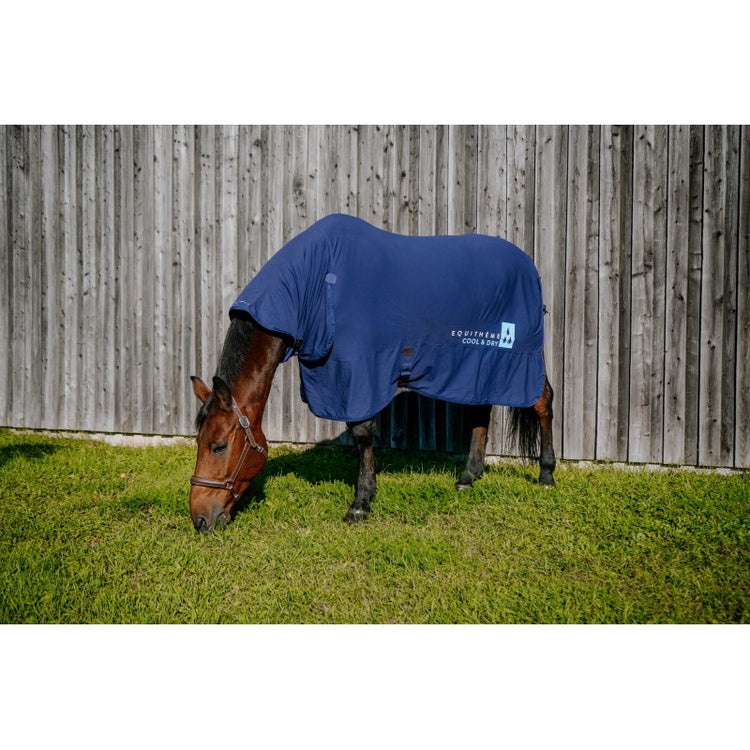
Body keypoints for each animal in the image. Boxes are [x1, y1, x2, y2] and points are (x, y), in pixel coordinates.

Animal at [189, 214, 556, 532]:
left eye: (218, 446)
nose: (200, 519)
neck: (316, 283)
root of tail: (530, 267)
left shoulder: (358, 373)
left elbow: (363, 433)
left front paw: (360, 504)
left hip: (524, 358)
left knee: (543, 403)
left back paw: (546, 476)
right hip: (478, 364)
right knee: (480, 409)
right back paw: (468, 478)